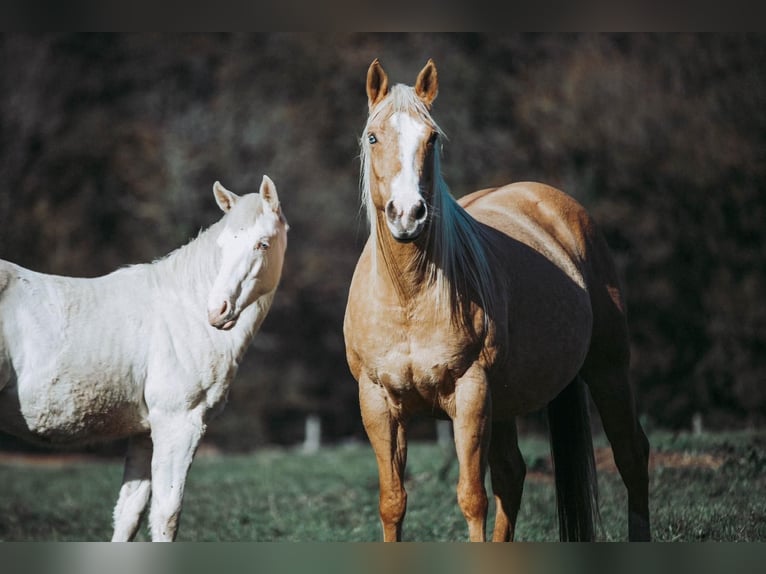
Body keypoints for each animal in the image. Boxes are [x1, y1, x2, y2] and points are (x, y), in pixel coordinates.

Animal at [0, 177, 288, 544]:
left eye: (262, 244)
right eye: (223, 245)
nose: (216, 311)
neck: (185, 310)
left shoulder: (144, 431)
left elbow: (129, 514)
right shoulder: (179, 422)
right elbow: (166, 514)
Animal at [344, 60, 652, 544]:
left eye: (431, 138)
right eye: (373, 137)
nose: (408, 214)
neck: (409, 297)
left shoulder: (471, 393)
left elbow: (472, 498)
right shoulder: (377, 401)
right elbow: (393, 502)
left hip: (608, 370)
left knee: (631, 456)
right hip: (507, 401)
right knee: (512, 474)